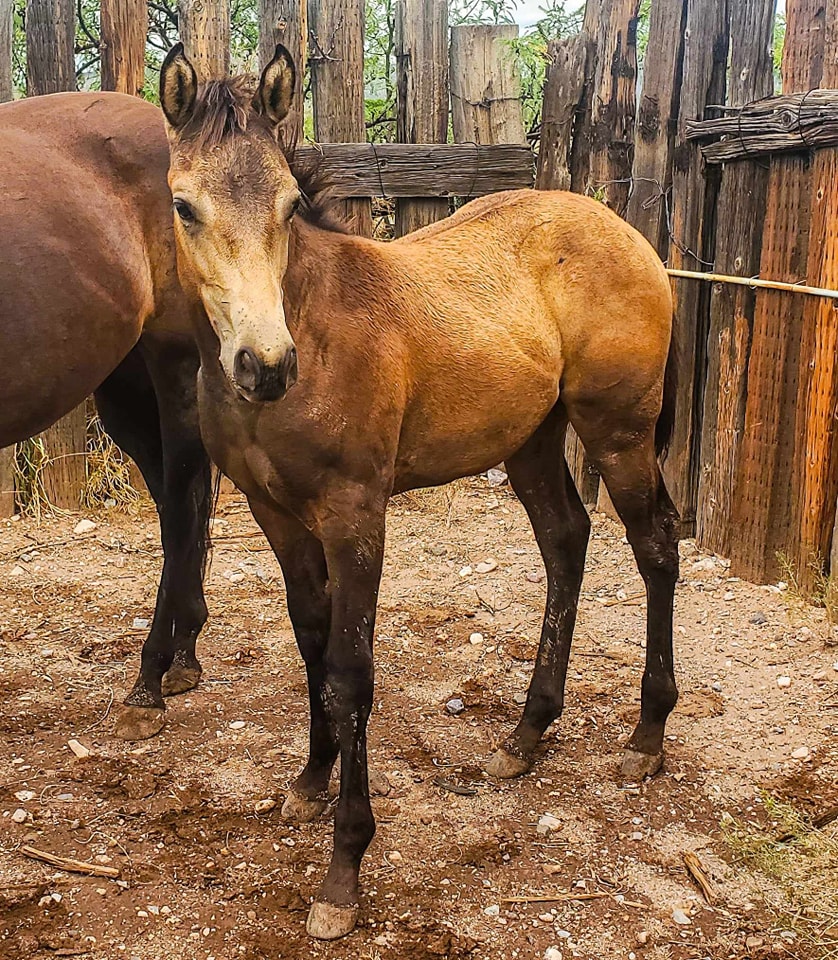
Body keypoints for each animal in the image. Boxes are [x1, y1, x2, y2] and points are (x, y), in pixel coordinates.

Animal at [0, 90, 214, 741]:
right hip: (125, 391)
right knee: (179, 504)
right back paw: (184, 653)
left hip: (175, 367)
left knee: (181, 510)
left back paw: (151, 679)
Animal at [159, 44, 679, 940]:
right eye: (185, 207)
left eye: (289, 205)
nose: (266, 365)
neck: (311, 327)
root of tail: (623, 232)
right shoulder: (275, 515)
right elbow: (311, 643)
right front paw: (309, 782)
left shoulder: (356, 516)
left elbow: (351, 669)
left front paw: (343, 872)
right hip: (531, 441)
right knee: (566, 542)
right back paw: (525, 735)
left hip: (619, 433)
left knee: (654, 549)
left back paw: (645, 738)